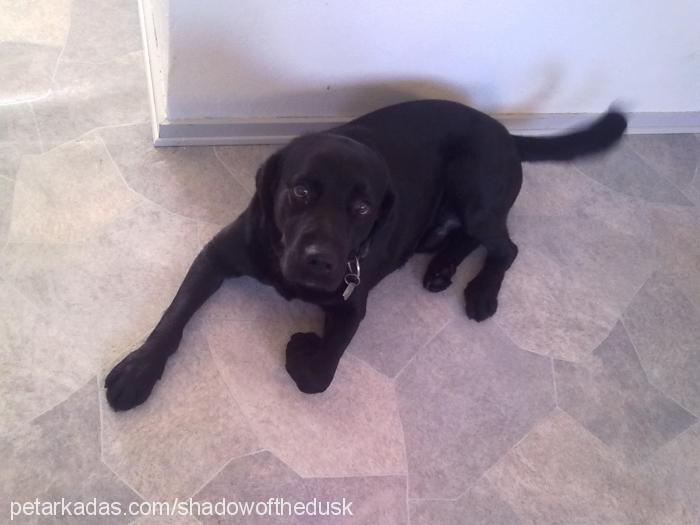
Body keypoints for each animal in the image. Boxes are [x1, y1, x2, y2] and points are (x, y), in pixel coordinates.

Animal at [106, 99, 628, 410]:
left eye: (361, 207)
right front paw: (138, 370)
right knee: (471, 237)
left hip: (473, 186)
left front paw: (303, 348)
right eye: (301, 191)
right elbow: (173, 316)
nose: (320, 259)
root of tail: (504, 130)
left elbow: (320, 374)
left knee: (507, 245)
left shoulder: (351, 305)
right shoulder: (216, 255)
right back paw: (442, 268)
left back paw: (481, 291)